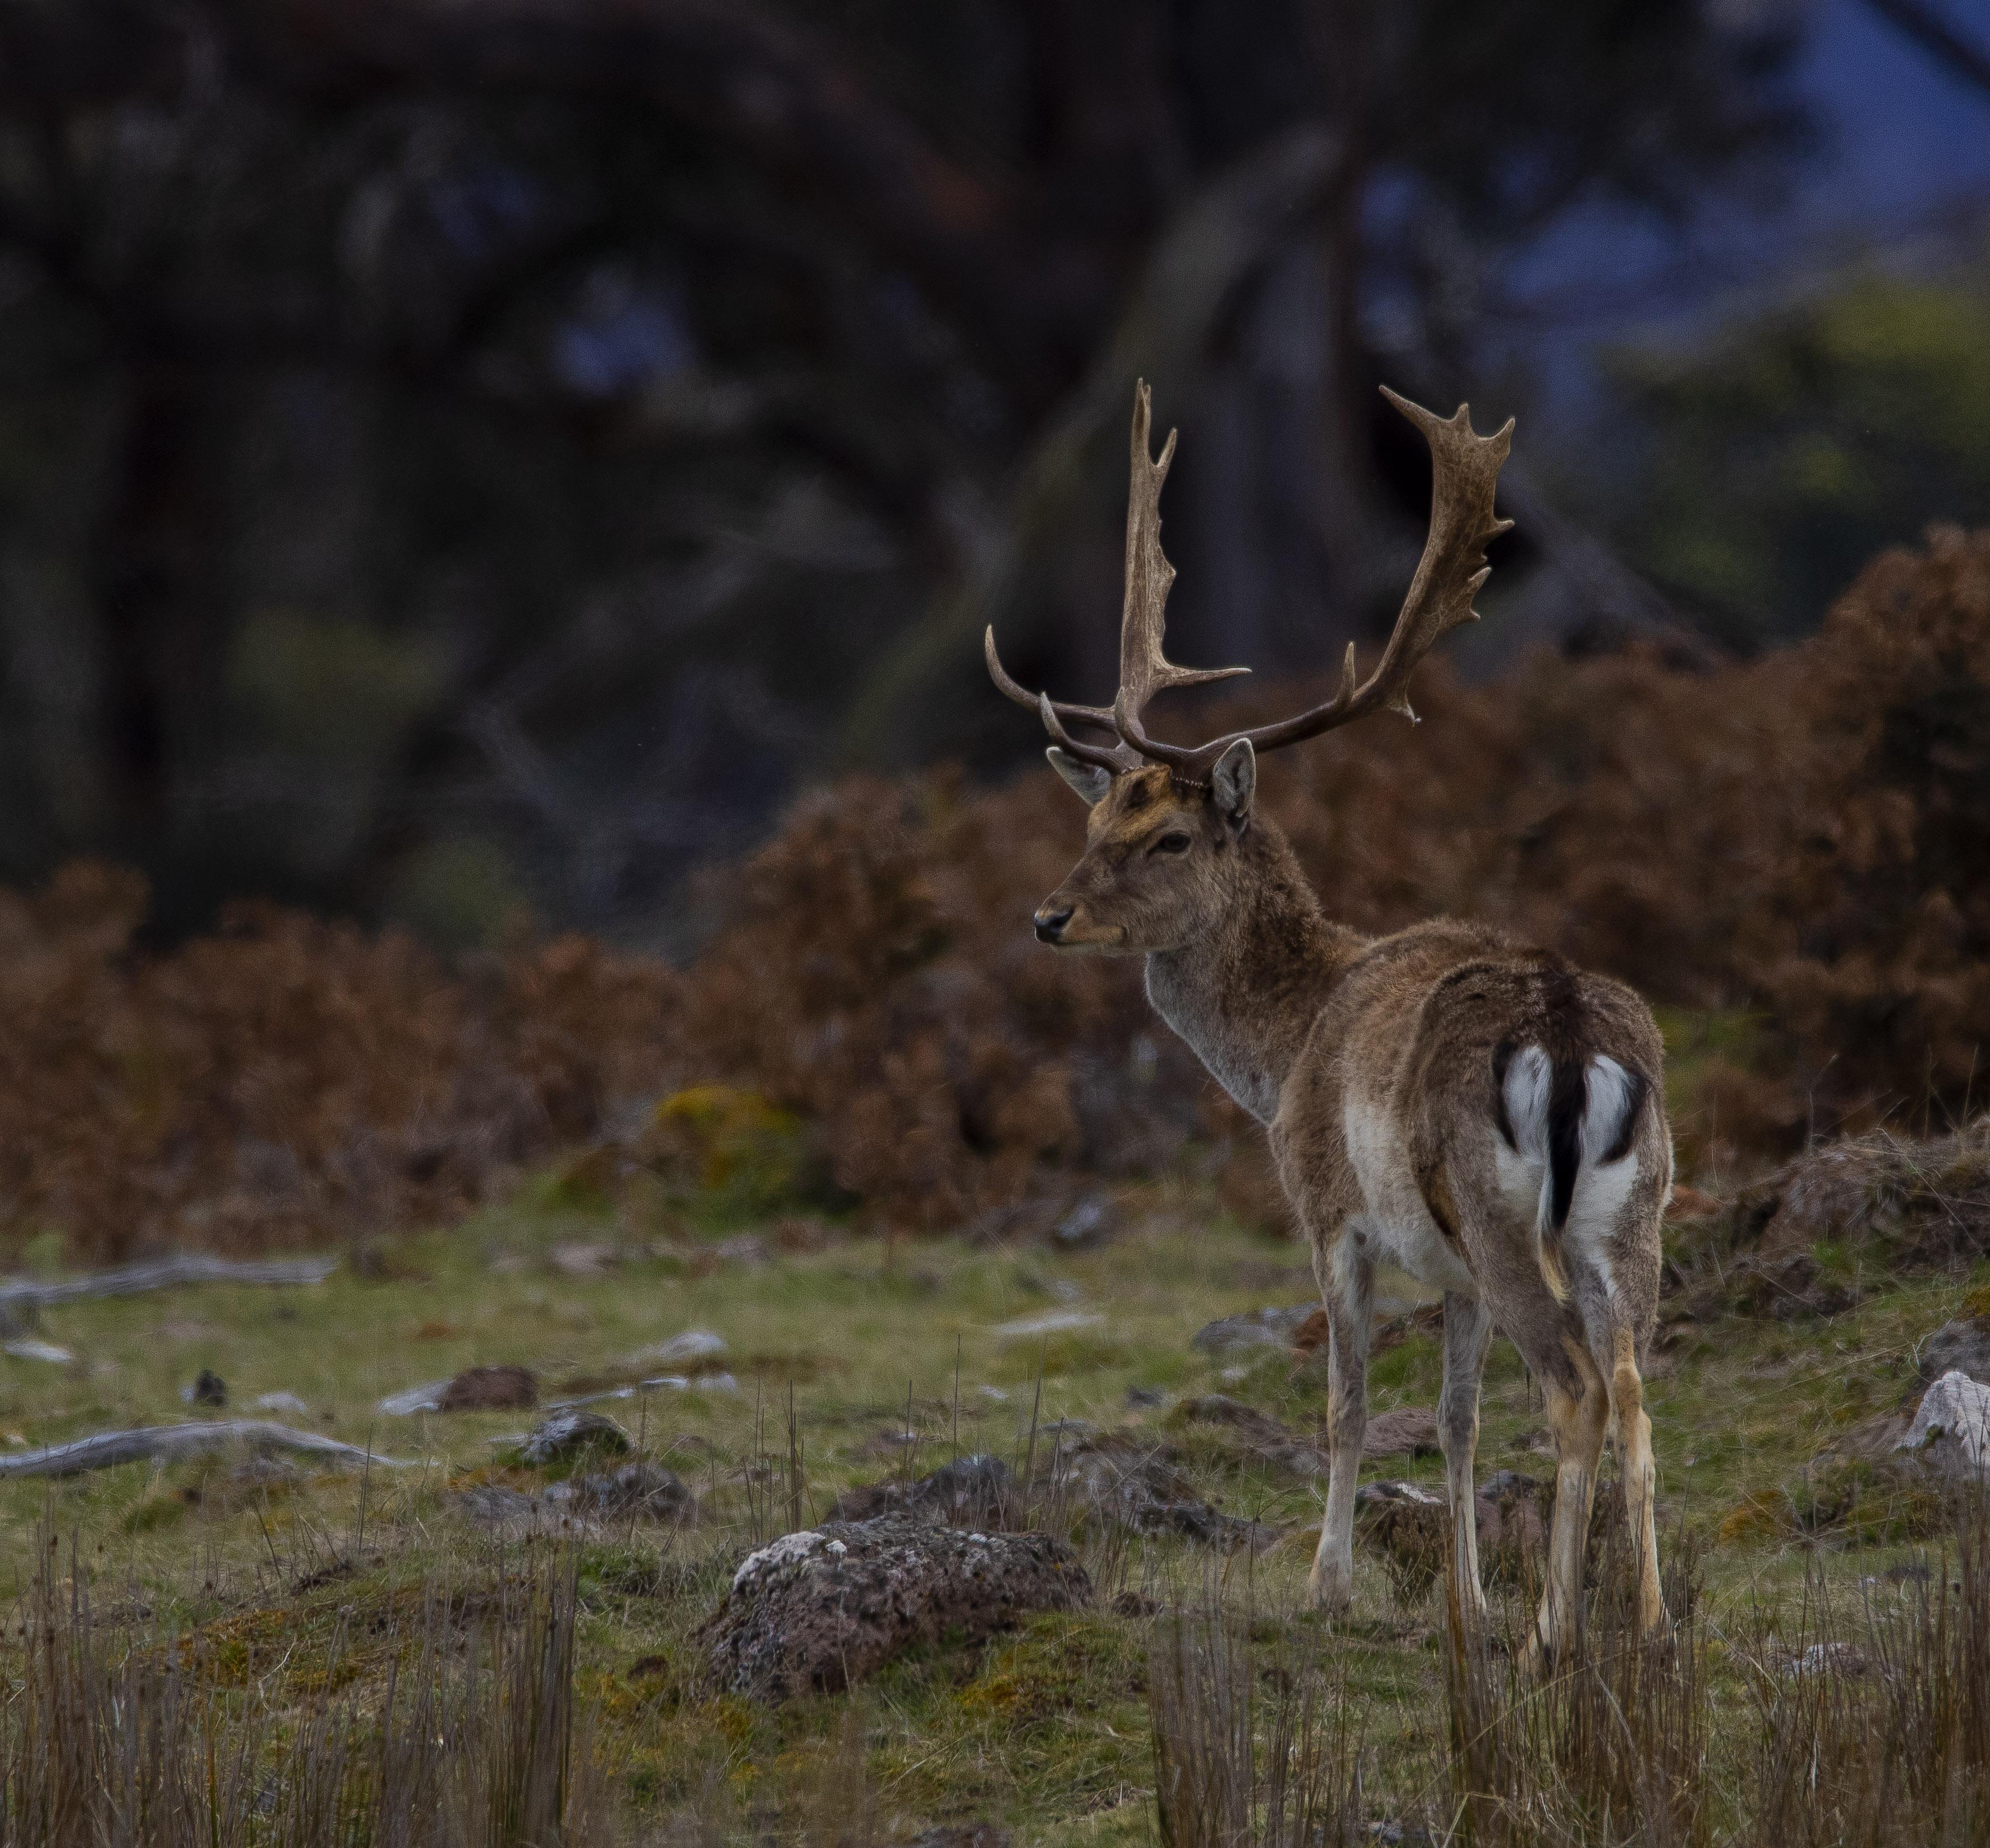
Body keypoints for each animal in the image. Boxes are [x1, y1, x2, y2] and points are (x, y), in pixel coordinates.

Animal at [986, 382, 1669, 1668]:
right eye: (1094, 815)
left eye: (1169, 837)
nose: (1047, 915)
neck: (1284, 1045)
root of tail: (1567, 1040)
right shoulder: (1447, 1270)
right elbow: (1453, 1418)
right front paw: (1464, 1602)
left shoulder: (1328, 1210)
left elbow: (1349, 1404)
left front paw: (1331, 1587)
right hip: (1632, 1216)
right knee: (1634, 1385)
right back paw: (1647, 1625)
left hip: (1502, 1215)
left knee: (1572, 1385)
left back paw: (1552, 1635)